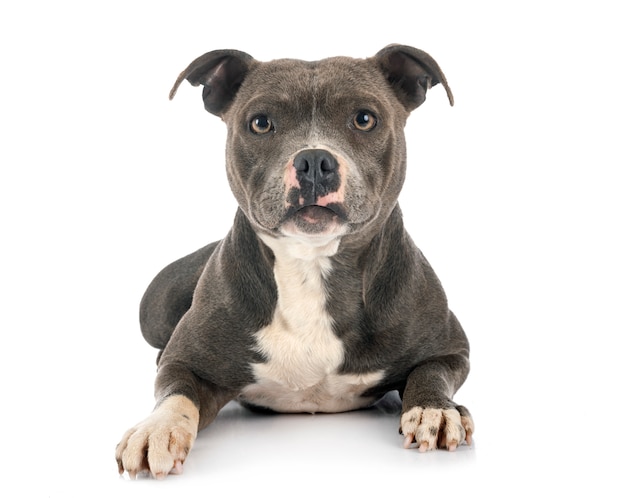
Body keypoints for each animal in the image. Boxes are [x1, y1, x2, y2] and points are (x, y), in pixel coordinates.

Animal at [114, 45, 470, 478]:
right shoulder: (188, 362)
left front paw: (436, 411)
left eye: (364, 119)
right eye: (260, 123)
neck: (310, 265)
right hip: (155, 307)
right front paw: (157, 429)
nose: (314, 160)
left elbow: (430, 371)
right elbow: (175, 393)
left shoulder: (450, 348)